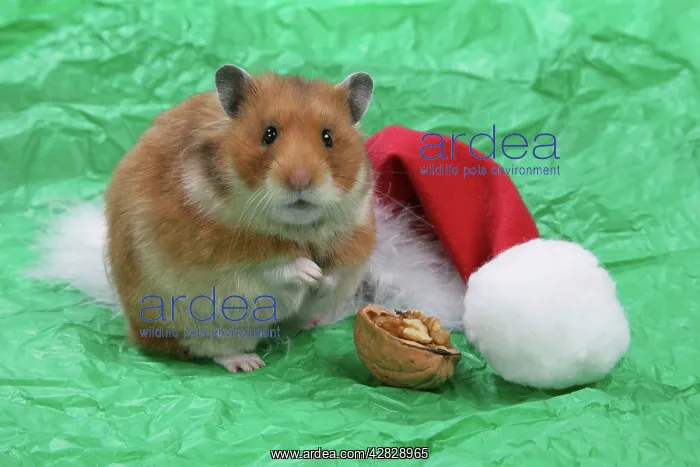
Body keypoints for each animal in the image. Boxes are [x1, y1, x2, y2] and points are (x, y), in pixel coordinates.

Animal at [104, 64, 377, 372]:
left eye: (328, 137)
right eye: (268, 134)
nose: (300, 181)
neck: (297, 229)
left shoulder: (357, 234)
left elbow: (336, 271)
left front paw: (320, 281)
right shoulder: (221, 255)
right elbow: (276, 266)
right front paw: (310, 273)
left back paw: (312, 322)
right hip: (192, 321)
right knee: (212, 348)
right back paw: (248, 363)